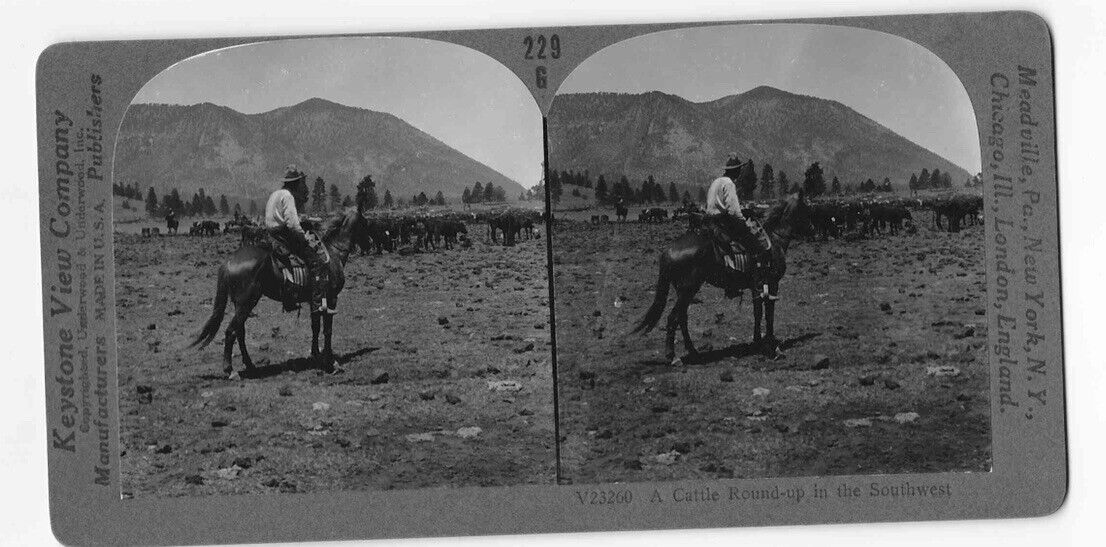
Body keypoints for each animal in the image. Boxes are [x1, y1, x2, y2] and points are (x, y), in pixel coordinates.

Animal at [185, 206, 367, 380]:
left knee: (240, 332)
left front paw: (316, 354)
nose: (369, 243)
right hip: (246, 303)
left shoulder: (314, 300)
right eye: (365, 222)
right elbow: (327, 330)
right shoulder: (331, 298)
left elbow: (315, 327)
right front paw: (330, 362)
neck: (333, 253)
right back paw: (231, 371)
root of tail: (229, 261)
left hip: (240, 304)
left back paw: (250, 366)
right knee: (231, 332)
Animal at [632, 192, 814, 364]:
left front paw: (757, 341)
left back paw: (693, 352)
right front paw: (770, 342)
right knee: (673, 318)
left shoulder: (757, 287)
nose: (813, 229)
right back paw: (673, 357)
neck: (774, 240)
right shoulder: (772, 283)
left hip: (684, 291)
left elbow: (757, 312)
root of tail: (668, 250)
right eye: (805, 209)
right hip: (688, 289)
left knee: (682, 318)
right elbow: (769, 314)